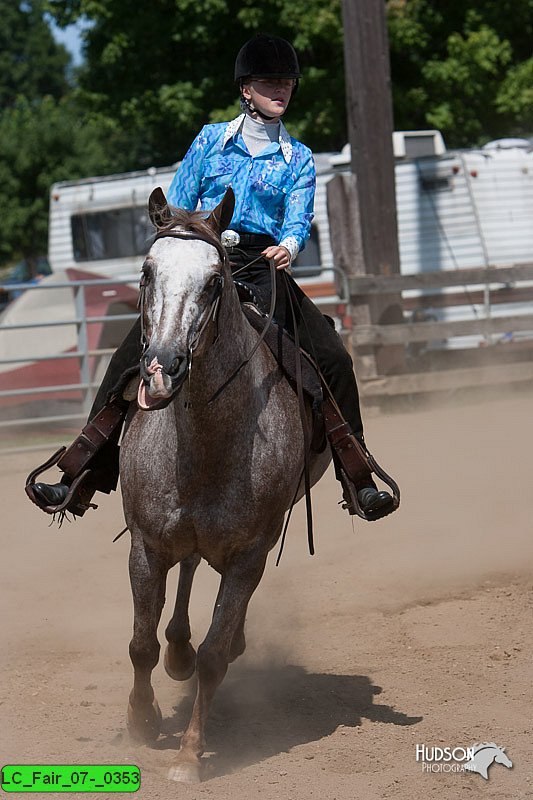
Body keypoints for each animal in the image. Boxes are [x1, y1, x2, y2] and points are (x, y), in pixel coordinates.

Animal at [118, 186, 330, 780]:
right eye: (146, 272)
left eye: (214, 281)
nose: (162, 368)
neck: (205, 442)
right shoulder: (145, 546)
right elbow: (140, 644)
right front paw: (142, 723)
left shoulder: (249, 555)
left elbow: (214, 658)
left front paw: (189, 756)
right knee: (187, 571)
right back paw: (177, 649)